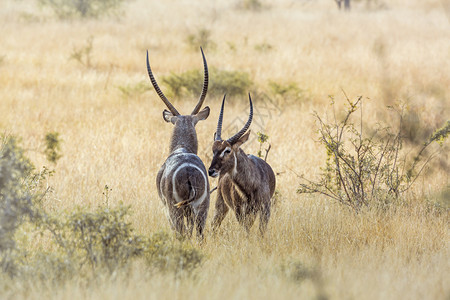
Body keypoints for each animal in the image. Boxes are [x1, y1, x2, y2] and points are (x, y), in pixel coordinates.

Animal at [147, 49, 212, 239]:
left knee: (181, 233)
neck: (181, 148)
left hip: (175, 210)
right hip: (202, 210)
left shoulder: (167, 210)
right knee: (199, 235)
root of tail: (189, 171)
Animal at [209, 94, 276, 234]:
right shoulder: (240, 211)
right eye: (213, 150)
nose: (211, 171)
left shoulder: (265, 209)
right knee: (213, 225)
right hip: (221, 205)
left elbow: (261, 232)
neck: (249, 187)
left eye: (227, 150)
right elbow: (246, 232)